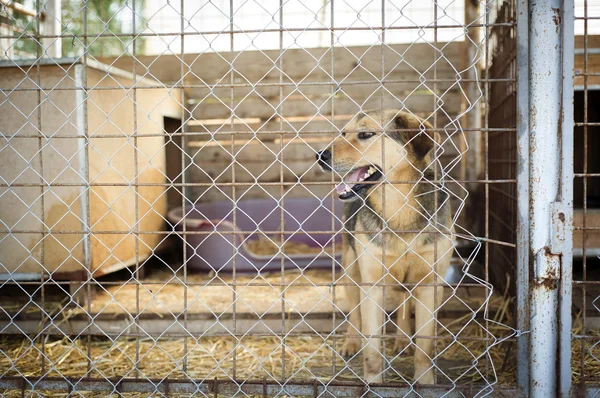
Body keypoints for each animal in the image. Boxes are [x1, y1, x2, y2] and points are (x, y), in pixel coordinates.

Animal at [314, 109, 454, 386]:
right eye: (343, 133)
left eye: (366, 134)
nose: (320, 155)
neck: (399, 209)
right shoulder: (372, 285)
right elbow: (372, 350)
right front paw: (373, 383)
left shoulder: (430, 284)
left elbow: (425, 347)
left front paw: (425, 382)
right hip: (351, 270)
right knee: (354, 313)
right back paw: (351, 343)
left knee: (403, 303)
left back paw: (402, 339)